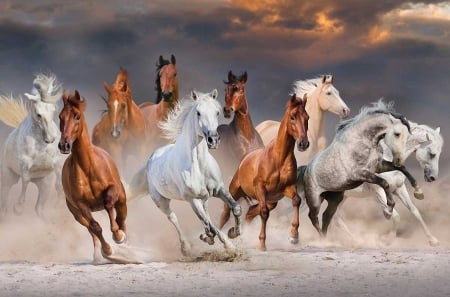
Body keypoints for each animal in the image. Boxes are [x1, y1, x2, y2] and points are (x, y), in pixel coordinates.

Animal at [0, 73, 64, 219]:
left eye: (53, 109)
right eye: (39, 114)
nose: (51, 139)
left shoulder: (57, 162)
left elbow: (59, 183)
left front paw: (60, 203)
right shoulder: (24, 164)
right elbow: (26, 180)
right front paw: (18, 208)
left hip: (45, 185)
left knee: (39, 208)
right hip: (9, 178)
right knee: (5, 200)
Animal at [59, 90, 129, 264]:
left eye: (77, 116)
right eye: (60, 116)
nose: (64, 145)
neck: (87, 167)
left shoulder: (113, 190)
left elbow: (109, 204)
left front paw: (118, 236)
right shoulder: (81, 204)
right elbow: (95, 227)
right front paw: (107, 250)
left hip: (122, 200)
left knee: (122, 218)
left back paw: (124, 240)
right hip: (76, 214)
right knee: (91, 229)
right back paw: (99, 254)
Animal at [125, 89, 243, 256]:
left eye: (217, 112)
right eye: (198, 113)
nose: (213, 140)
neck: (199, 166)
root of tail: (151, 159)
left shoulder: (219, 189)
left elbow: (236, 208)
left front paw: (233, 233)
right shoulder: (192, 199)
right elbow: (209, 226)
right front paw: (217, 241)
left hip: (204, 198)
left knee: (207, 217)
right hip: (161, 201)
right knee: (174, 218)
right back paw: (186, 247)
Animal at [218, 92, 310, 250]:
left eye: (307, 117)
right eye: (293, 116)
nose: (303, 144)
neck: (279, 158)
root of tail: (244, 159)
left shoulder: (287, 187)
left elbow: (296, 201)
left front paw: (294, 236)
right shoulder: (260, 189)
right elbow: (264, 213)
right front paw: (262, 244)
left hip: (272, 201)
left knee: (249, 213)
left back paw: (235, 234)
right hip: (235, 192)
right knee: (225, 214)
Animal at [298, 100, 414, 237]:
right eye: (397, 134)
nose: (399, 159)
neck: (361, 142)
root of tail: (306, 169)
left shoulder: (377, 166)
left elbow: (402, 169)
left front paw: (418, 191)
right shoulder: (360, 173)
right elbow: (384, 183)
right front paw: (388, 211)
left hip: (335, 199)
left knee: (326, 216)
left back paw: (327, 238)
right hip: (315, 199)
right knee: (313, 217)